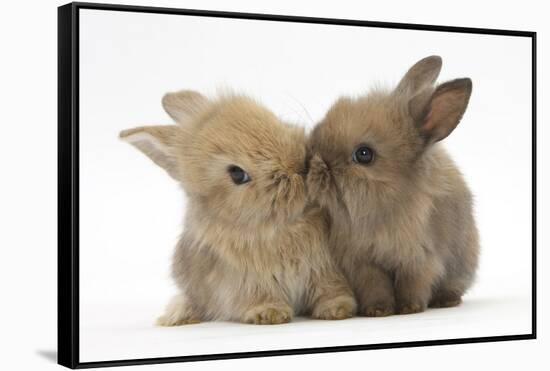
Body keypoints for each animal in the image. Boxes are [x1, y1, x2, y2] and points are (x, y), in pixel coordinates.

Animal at [121, 90, 358, 326]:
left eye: (275, 119)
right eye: (237, 174)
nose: (301, 166)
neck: (282, 226)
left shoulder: (324, 269)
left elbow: (329, 289)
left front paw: (337, 309)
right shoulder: (247, 281)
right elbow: (259, 296)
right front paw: (269, 313)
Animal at [308, 55, 480, 316]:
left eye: (364, 154)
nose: (314, 161)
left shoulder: (419, 259)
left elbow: (413, 285)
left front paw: (410, 308)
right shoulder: (363, 262)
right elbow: (376, 287)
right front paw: (378, 310)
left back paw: (446, 301)